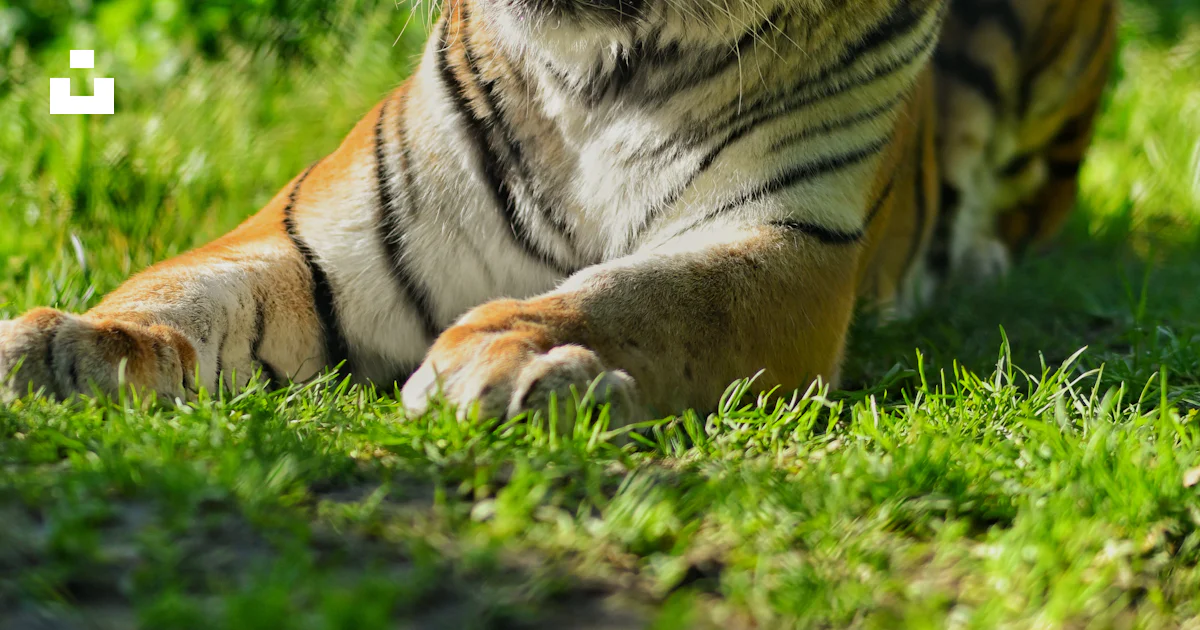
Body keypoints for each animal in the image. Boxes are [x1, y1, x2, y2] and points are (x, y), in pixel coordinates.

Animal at [0, 0, 1116, 426]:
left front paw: (505, 366)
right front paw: (63, 347)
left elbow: (636, 296)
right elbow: (191, 289)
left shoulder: (785, 242)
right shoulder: (325, 235)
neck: (608, 54)